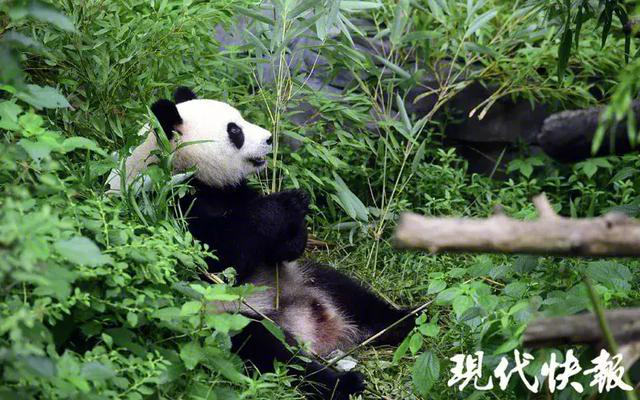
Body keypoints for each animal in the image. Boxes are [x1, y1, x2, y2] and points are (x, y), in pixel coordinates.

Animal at [110, 88, 416, 400]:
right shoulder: (166, 205)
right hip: (226, 318)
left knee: (352, 295)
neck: (190, 171)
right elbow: (216, 257)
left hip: (305, 278)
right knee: (270, 351)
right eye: (235, 131)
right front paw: (287, 202)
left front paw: (296, 221)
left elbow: (278, 250)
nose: (269, 138)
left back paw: (406, 320)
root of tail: (309, 331)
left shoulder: (234, 192)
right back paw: (342, 383)